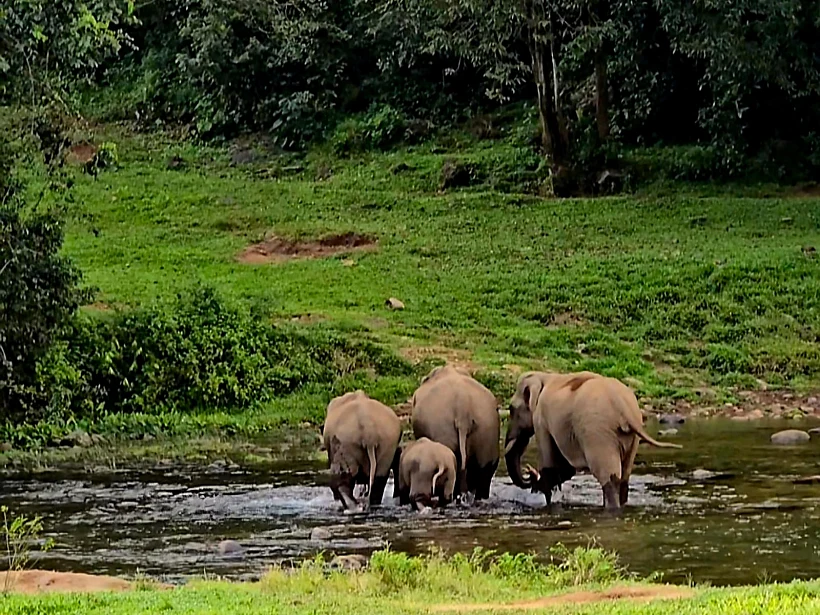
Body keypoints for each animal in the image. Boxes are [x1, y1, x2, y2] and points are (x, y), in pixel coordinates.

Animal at [502, 372, 684, 512]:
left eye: (511, 409)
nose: (529, 473)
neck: (544, 377)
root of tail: (622, 407)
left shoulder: (541, 420)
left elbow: (551, 465)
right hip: (631, 437)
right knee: (624, 478)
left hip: (597, 434)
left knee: (608, 479)